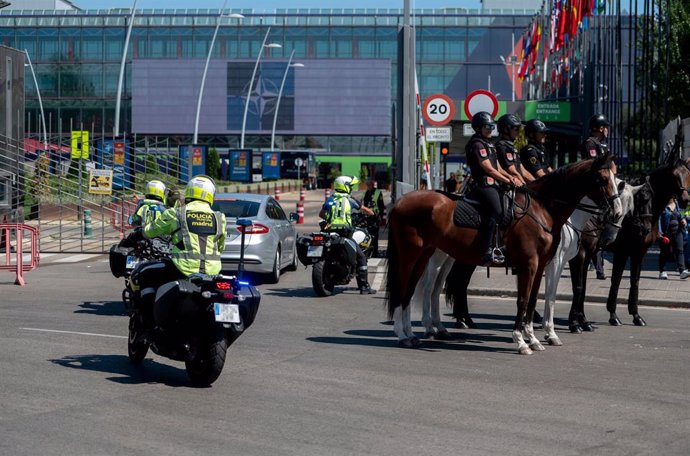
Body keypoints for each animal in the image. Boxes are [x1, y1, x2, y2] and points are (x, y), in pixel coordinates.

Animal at [384, 155, 620, 354]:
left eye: (615, 180)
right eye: (602, 178)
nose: (617, 212)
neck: (541, 209)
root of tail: (400, 201)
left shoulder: (541, 265)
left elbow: (535, 300)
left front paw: (534, 338)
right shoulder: (532, 264)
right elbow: (525, 300)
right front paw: (522, 340)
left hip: (427, 256)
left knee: (414, 290)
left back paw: (416, 332)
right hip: (411, 255)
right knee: (406, 288)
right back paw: (403, 334)